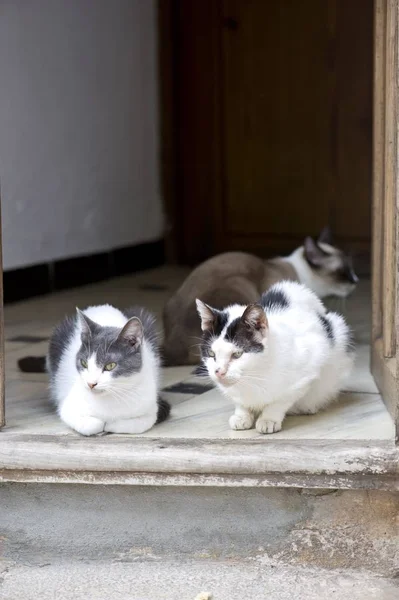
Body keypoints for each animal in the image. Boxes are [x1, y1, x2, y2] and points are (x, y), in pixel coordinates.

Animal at [38, 304, 170, 436]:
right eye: (84, 363)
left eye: (110, 366)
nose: (91, 384)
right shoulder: (68, 408)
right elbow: (91, 425)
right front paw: (101, 424)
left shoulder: (150, 411)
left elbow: (133, 425)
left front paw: (111, 424)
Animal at [195, 278, 354, 434]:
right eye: (211, 353)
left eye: (237, 354)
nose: (219, 372)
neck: (254, 376)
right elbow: (239, 401)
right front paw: (241, 415)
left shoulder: (309, 364)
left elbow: (281, 399)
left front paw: (268, 419)